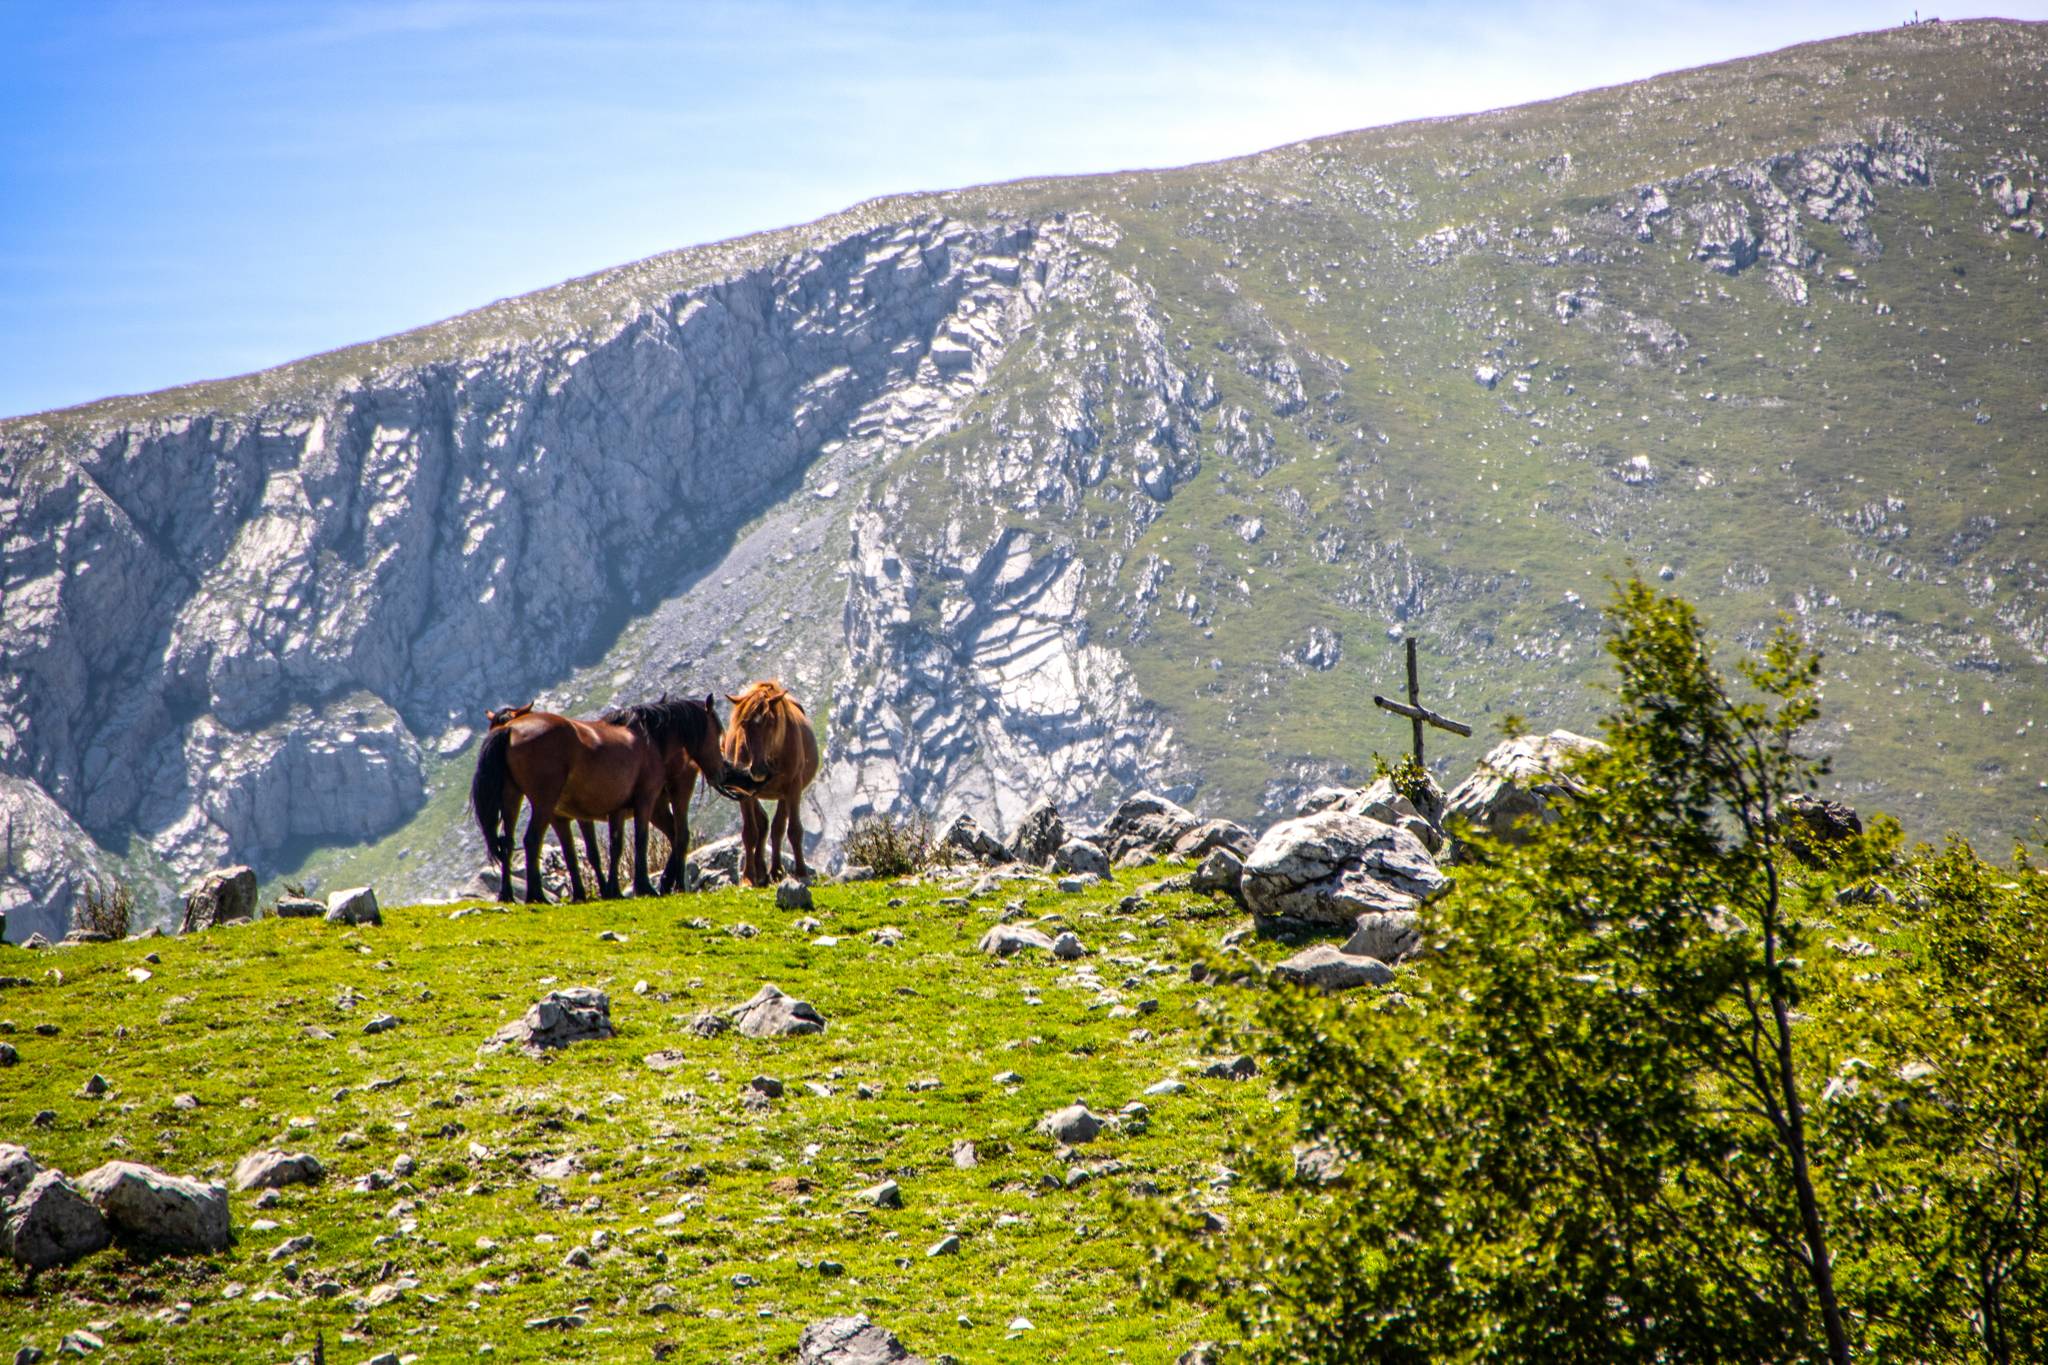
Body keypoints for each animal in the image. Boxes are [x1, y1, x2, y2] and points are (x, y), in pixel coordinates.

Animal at [720, 679, 815, 888]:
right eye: (744, 723)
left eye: (770, 722)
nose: (758, 770)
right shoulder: (744, 791)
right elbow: (750, 833)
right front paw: (748, 877)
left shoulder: (793, 788)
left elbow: (794, 830)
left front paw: (802, 872)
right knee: (763, 824)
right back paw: (762, 872)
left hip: (783, 795)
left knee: (777, 828)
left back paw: (775, 871)